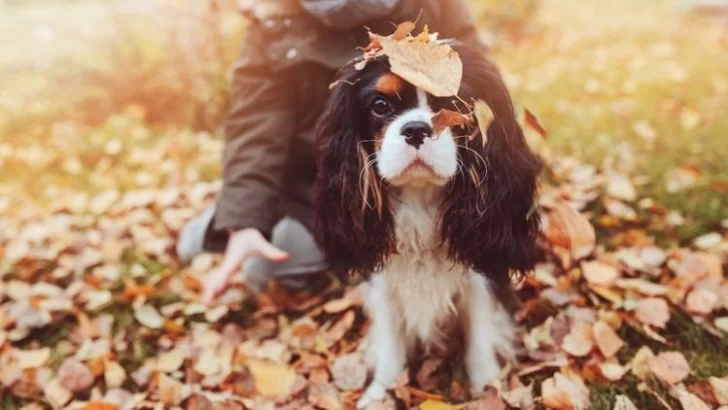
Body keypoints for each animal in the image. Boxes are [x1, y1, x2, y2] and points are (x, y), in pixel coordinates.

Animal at [312, 37, 540, 406]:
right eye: (380, 105)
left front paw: (486, 388)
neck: (420, 200)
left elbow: (480, 334)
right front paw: (381, 393)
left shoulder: (479, 275)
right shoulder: (384, 279)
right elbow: (390, 342)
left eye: (454, 102)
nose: (417, 129)